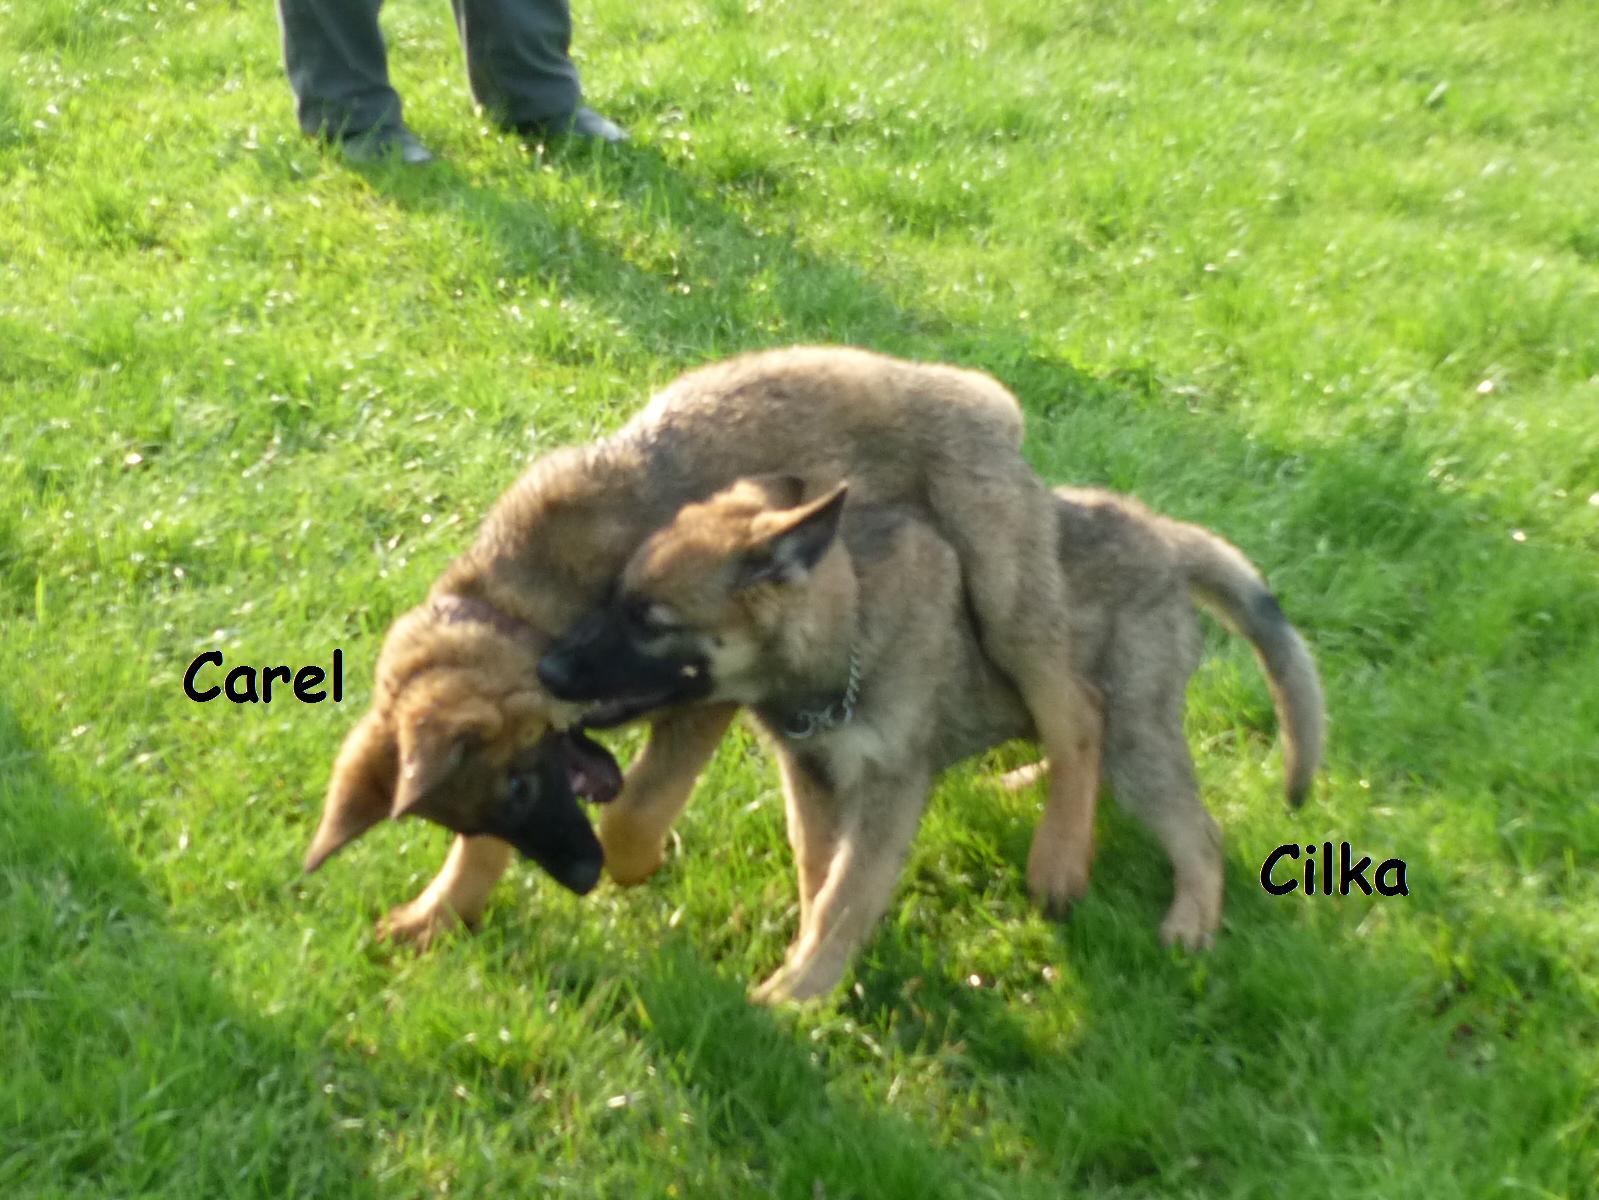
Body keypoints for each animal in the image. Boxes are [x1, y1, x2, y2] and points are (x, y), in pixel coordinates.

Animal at [303, 346, 1102, 948]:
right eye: (497, 803)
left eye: (522, 787)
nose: (580, 879)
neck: (518, 613)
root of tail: (985, 402)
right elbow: (486, 851)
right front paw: (440, 913)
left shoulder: (706, 699)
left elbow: (635, 811)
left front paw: (637, 864)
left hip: (1005, 603)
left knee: (1077, 717)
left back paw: (1059, 856)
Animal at [535, 475, 1325, 1001]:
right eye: (611, 599)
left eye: (650, 620)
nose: (547, 667)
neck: (848, 627)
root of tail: (1165, 536)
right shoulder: (811, 777)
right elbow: (821, 877)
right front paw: (811, 961)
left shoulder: (887, 787)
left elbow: (847, 893)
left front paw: (796, 993)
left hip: (1138, 735)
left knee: (1194, 828)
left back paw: (1189, 923)